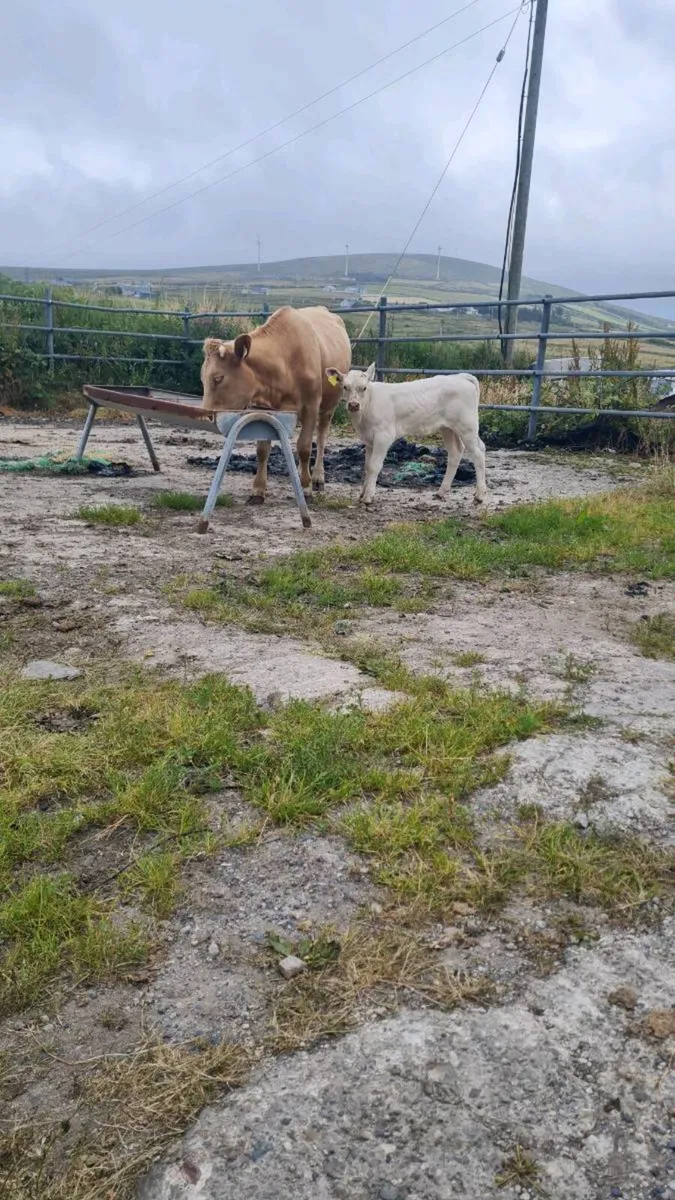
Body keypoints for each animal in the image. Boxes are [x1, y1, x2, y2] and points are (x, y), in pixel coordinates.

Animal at [201, 306, 351, 502]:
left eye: (218, 378)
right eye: (202, 379)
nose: (206, 416)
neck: (284, 360)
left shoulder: (311, 405)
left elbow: (304, 447)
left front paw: (306, 488)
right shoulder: (265, 409)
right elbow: (262, 449)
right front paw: (258, 489)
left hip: (329, 405)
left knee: (321, 437)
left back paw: (317, 477)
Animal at [324, 363, 487, 507]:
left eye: (363, 387)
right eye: (345, 387)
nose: (353, 405)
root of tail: (460, 376)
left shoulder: (383, 436)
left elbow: (374, 466)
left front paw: (368, 497)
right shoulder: (369, 440)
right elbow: (366, 466)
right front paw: (362, 494)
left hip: (467, 427)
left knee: (478, 454)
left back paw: (479, 495)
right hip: (448, 428)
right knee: (456, 452)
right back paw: (441, 492)